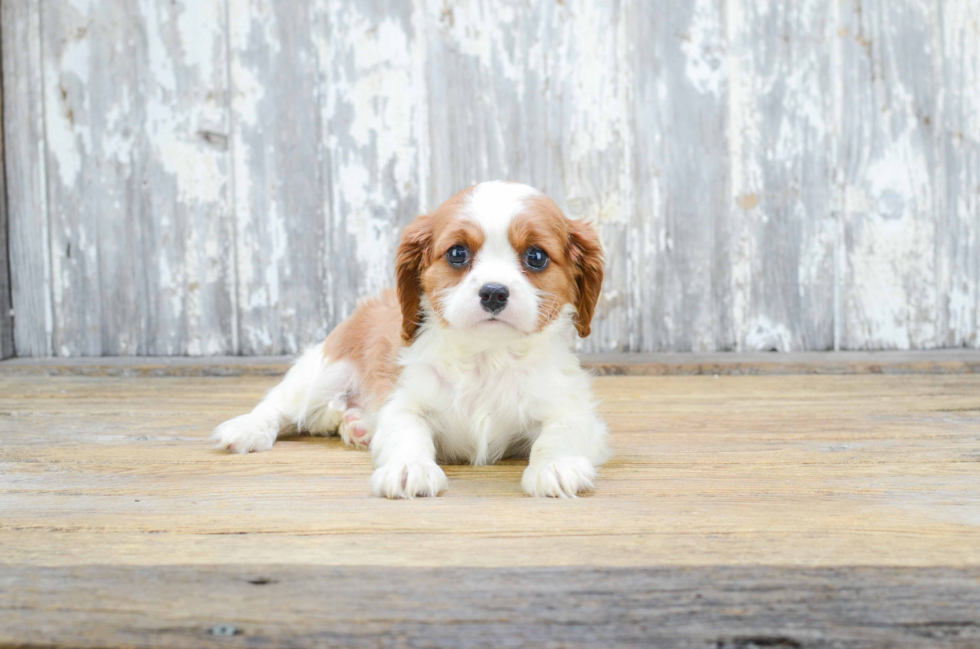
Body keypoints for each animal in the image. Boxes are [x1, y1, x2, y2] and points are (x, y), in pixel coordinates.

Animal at [212, 180, 612, 498]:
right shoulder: (405, 400)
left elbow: (559, 433)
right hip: (326, 369)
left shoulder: (568, 406)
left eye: (536, 256)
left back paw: (357, 425)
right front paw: (409, 469)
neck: (487, 355)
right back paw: (250, 427)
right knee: (281, 404)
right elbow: (408, 432)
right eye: (457, 253)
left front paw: (555, 466)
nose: (494, 292)